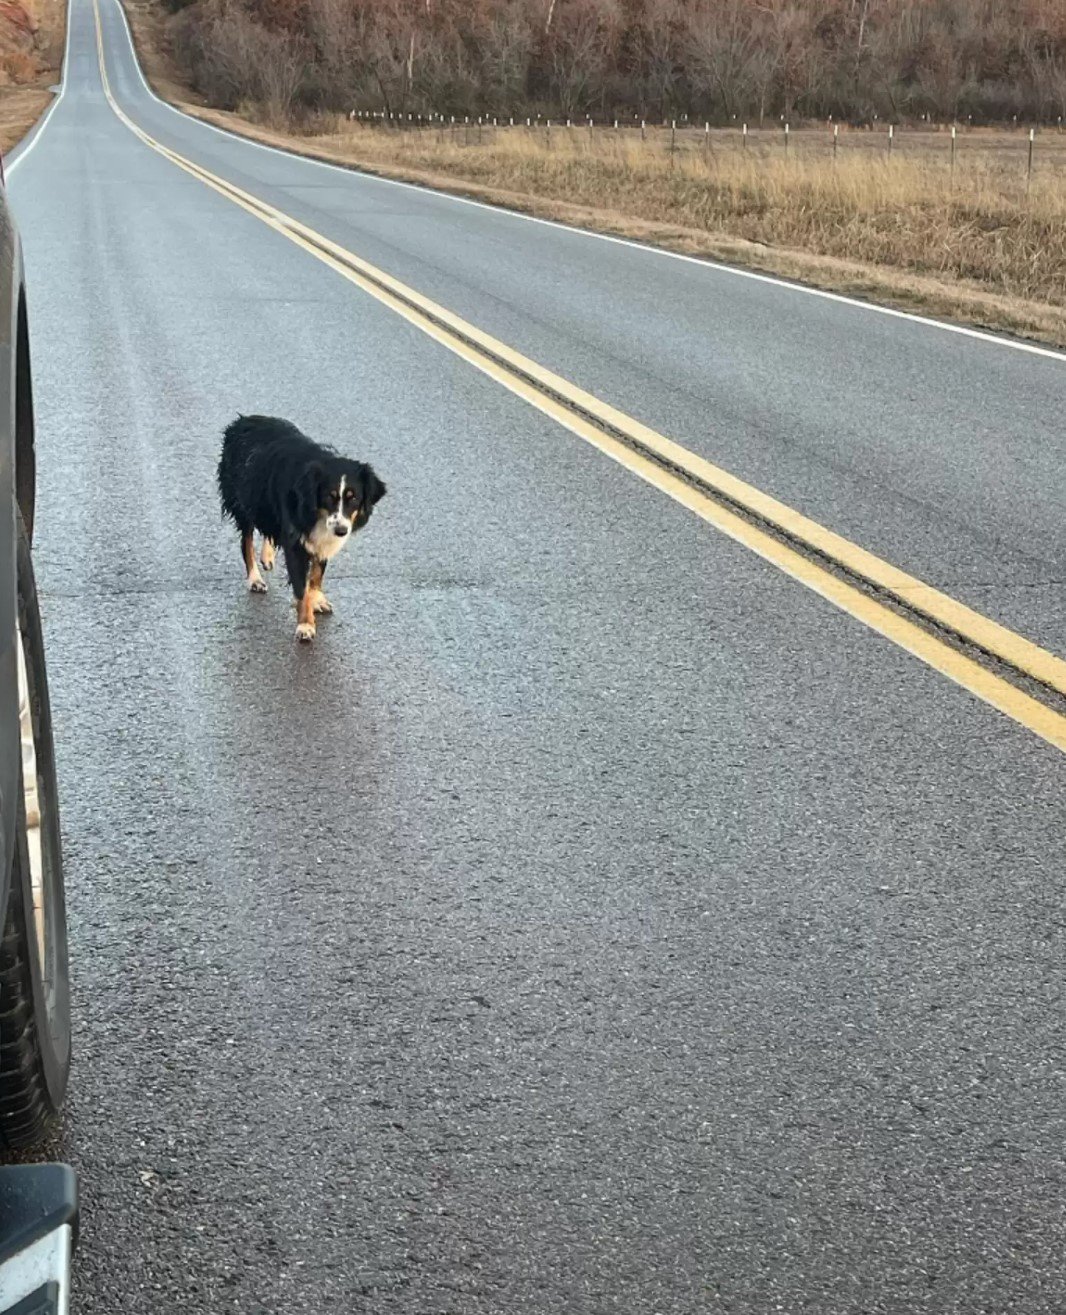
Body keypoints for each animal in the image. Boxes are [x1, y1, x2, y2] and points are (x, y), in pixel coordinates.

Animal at [219, 410, 386, 636]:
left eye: (354, 498)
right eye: (329, 496)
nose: (341, 531)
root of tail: (244, 419)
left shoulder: (322, 539)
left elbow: (316, 576)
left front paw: (317, 600)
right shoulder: (296, 541)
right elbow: (301, 586)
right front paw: (305, 624)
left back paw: (267, 556)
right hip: (244, 499)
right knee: (246, 541)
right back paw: (255, 579)